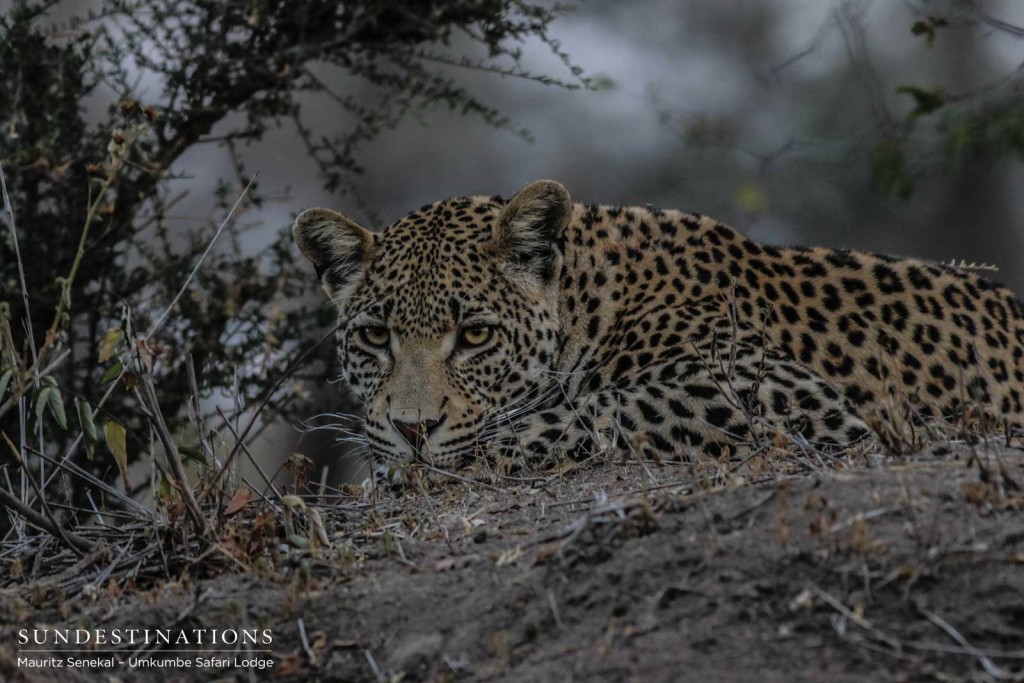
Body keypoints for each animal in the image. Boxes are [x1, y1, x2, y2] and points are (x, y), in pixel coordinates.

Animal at [292, 179, 1024, 473]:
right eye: (375, 337)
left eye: (474, 335)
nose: (412, 430)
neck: (594, 301)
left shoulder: (776, 393)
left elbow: (597, 408)